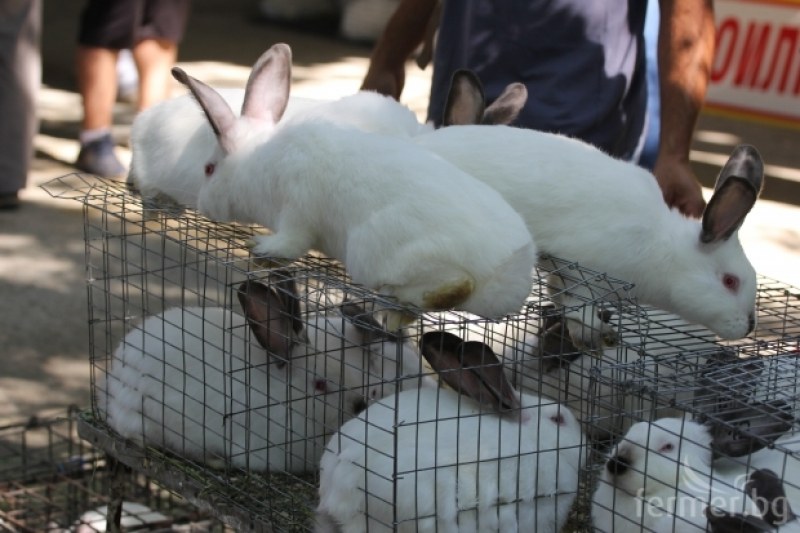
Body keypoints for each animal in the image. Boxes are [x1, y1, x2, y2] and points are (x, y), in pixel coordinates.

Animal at [173, 42, 540, 324]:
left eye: (209, 169)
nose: (204, 204)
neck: (257, 158)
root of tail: (507, 272)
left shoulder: (297, 211)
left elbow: (290, 243)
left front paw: (261, 248)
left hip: (374, 251)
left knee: (450, 286)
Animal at [416, 68, 764, 352]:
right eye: (730, 281)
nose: (749, 326)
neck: (662, 249)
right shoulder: (579, 264)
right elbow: (579, 303)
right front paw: (598, 334)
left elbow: (560, 295)